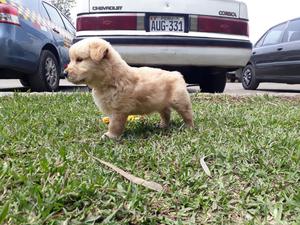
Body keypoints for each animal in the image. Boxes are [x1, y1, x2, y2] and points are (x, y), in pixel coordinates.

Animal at [64, 37, 193, 138]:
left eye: (79, 60)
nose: (64, 73)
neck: (111, 78)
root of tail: (176, 73)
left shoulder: (119, 110)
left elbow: (114, 125)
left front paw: (111, 136)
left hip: (180, 101)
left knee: (187, 114)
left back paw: (189, 127)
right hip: (161, 103)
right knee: (166, 113)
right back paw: (163, 126)